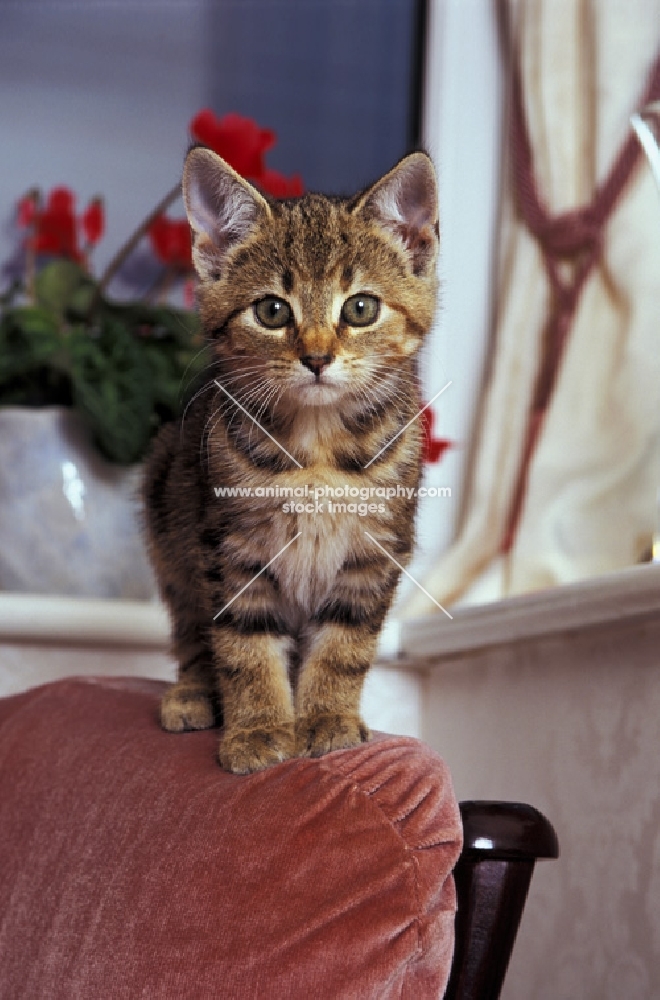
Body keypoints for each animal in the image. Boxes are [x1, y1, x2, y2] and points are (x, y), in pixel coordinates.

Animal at [144, 146, 438, 772]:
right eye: (273, 311)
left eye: (361, 307)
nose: (318, 357)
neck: (317, 449)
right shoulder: (230, 548)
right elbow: (245, 646)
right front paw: (258, 729)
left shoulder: (375, 552)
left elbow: (344, 645)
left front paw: (327, 719)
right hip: (166, 513)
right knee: (190, 629)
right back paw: (193, 694)